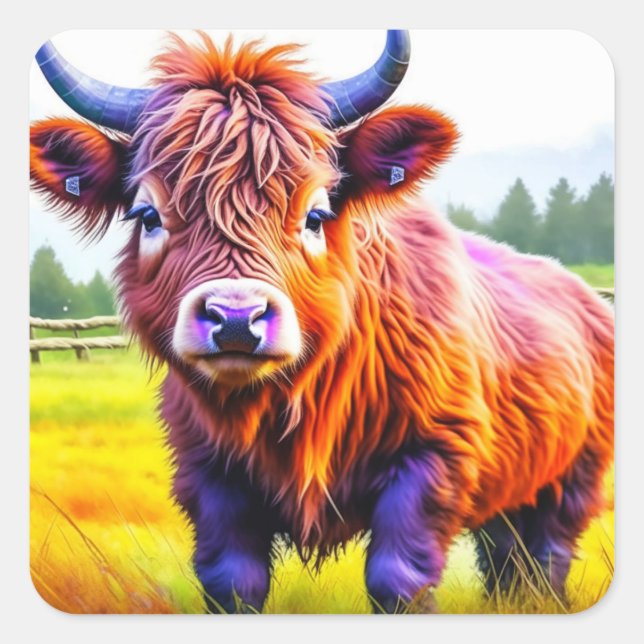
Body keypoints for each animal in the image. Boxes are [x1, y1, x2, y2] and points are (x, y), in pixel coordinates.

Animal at [30, 30, 614, 613]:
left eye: (316, 215)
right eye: (148, 215)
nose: (236, 319)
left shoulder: (435, 456)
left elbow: (398, 579)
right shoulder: (208, 473)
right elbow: (232, 581)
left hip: (571, 481)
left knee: (545, 556)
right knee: (506, 559)